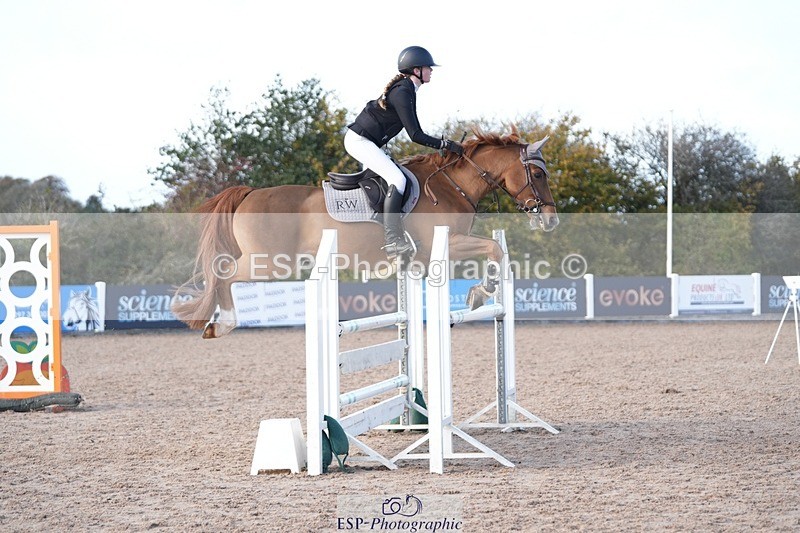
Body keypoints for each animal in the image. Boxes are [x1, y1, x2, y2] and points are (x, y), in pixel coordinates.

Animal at [173, 128, 558, 338]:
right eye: (539, 175)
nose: (551, 220)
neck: (452, 185)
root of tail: (250, 193)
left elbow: (493, 251)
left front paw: (477, 293)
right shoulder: (447, 243)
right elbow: (494, 248)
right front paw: (480, 293)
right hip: (267, 262)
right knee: (223, 274)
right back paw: (222, 325)